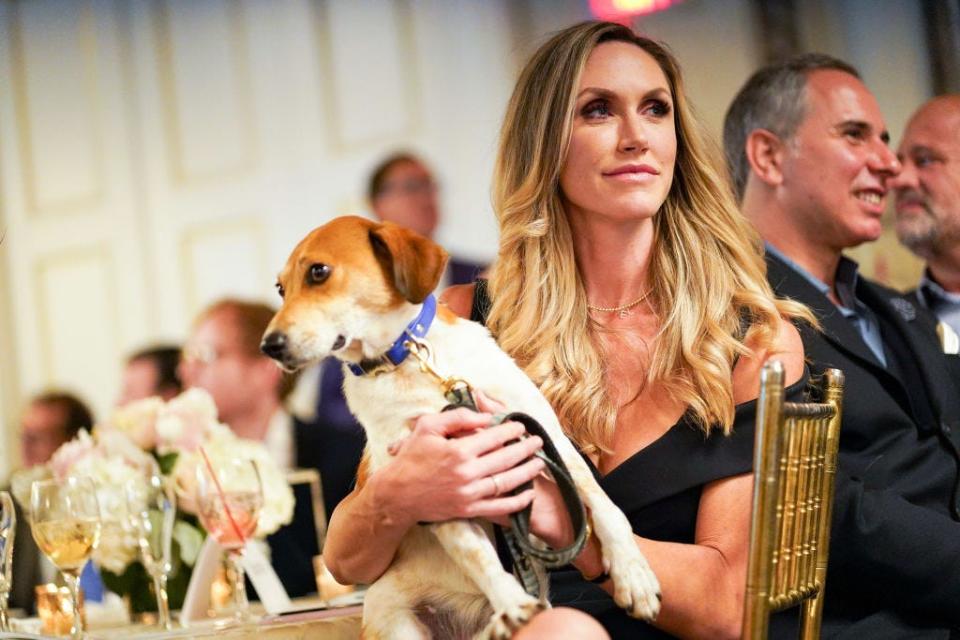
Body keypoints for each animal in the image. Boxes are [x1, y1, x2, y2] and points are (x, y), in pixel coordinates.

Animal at [258, 218, 656, 636]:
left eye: (318, 272)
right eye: (281, 289)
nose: (269, 346)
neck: (409, 363)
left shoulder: (546, 433)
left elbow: (601, 502)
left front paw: (633, 573)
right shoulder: (434, 488)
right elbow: (478, 555)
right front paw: (511, 602)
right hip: (391, 612)